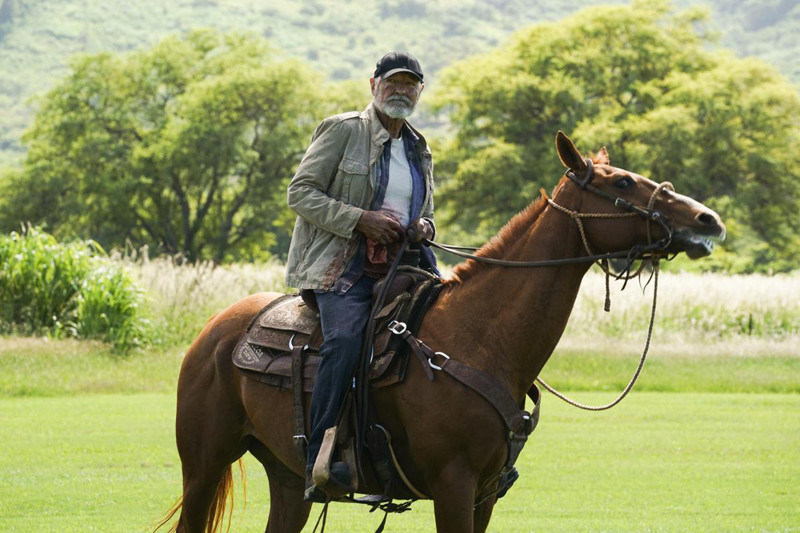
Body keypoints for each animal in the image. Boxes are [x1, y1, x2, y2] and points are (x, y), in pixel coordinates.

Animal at [156, 131, 724, 528]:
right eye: (622, 183)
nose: (708, 219)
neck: (481, 340)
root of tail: (211, 333)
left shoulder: (485, 492)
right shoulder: (453, 483)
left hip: (289, 478)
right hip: (204, 465)